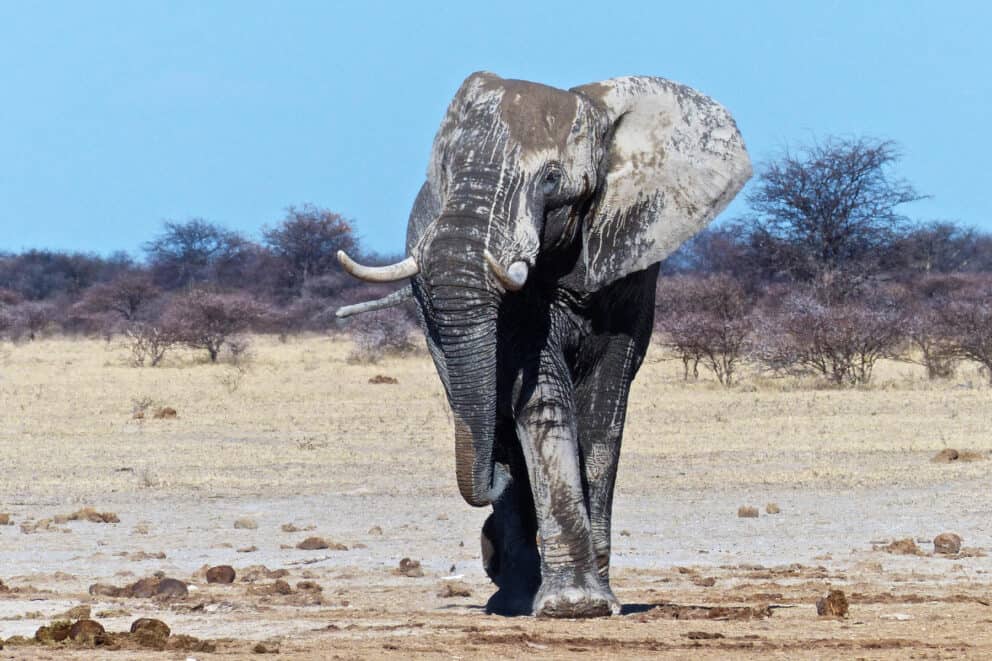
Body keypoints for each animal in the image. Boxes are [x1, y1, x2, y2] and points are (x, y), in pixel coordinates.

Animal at [336, 72, 751, 617]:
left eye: (551, 179)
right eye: (447, 173)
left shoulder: (630, 267)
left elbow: (604, 412)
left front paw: (593, 602)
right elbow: (541, 399)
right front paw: (571, 604)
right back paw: (512, 592)